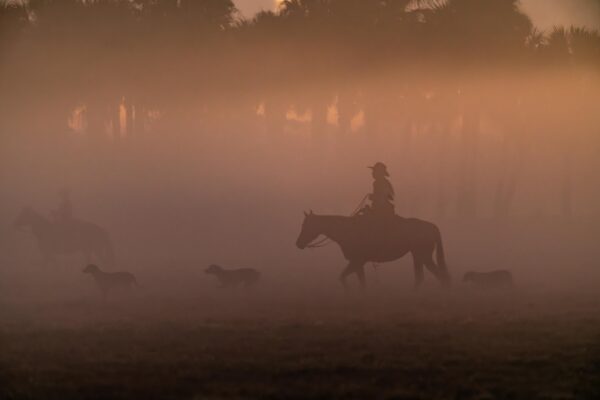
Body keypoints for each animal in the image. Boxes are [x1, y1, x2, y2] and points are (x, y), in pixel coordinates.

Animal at [296, 211, 450, 290]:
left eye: (307, 225)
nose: (298, 243)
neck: (346, 230)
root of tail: (432, 227)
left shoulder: (357, 261)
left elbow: (345, 277)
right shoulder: (358, 263)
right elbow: (358, 280)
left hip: (424, 256)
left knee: (439, 275)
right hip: (417, 256)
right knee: (420, 277)